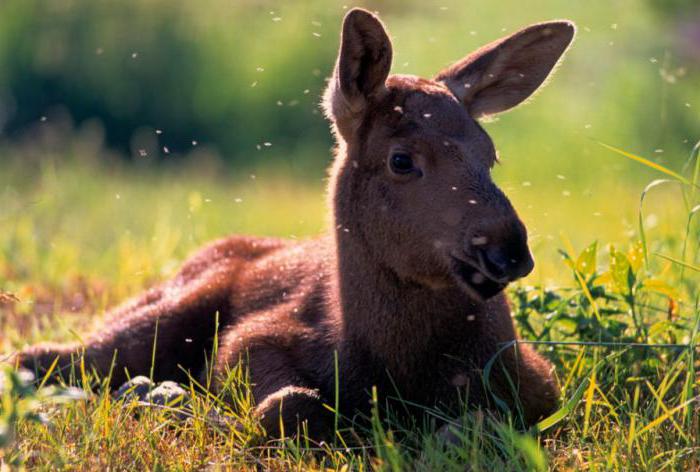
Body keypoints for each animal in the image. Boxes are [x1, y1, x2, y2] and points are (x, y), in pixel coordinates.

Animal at [13, 7, 576, 440]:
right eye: (401, 160)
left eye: (490, 154)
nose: (507, 248)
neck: (401, 367)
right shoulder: (254, 339)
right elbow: (291, 403)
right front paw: (198, 409)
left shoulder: (536, 379)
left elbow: (486, 421)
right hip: (162, 312)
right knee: (37, 356)